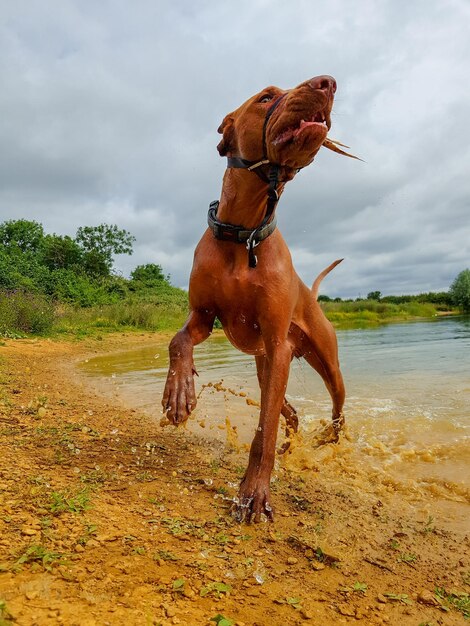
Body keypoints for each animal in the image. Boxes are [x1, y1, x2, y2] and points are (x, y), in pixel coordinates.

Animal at [164, 74, 346, 520]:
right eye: (265, 98)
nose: (328, 82)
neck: (243, 233)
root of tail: (311, 295)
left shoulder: (278, 343)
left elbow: (263, 432)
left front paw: (253, 493)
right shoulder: (203, 317)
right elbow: (178, 341)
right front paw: (179, 393)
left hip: (321, 361)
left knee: (336, 410)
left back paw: (327, 440)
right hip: (268, 364)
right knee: (290, 413)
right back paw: (294, 445)